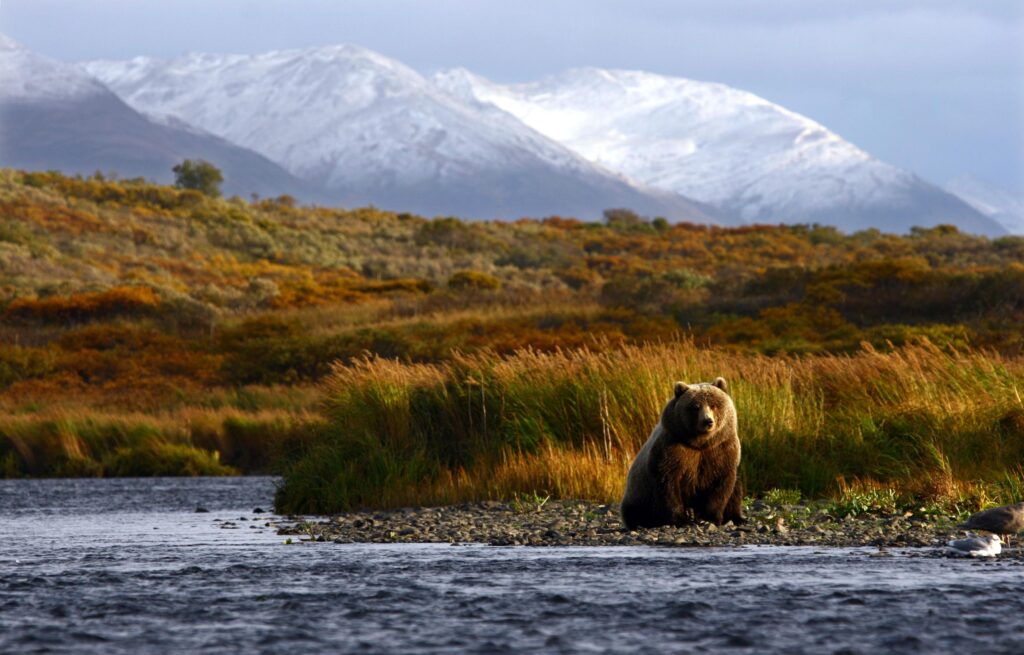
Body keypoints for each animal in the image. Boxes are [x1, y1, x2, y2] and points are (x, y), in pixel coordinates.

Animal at [614, 376, 745, 528]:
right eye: (695, 407)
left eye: (713, 405)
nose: (707, 421)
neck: (700, 443)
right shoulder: (673, 448)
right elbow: (668, 484)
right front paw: (681, 520)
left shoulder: (721, 449)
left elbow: (720, 485)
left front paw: (709, 518)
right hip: (639, 494)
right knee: (636, 511)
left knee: (736, 489)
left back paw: (737, 518)